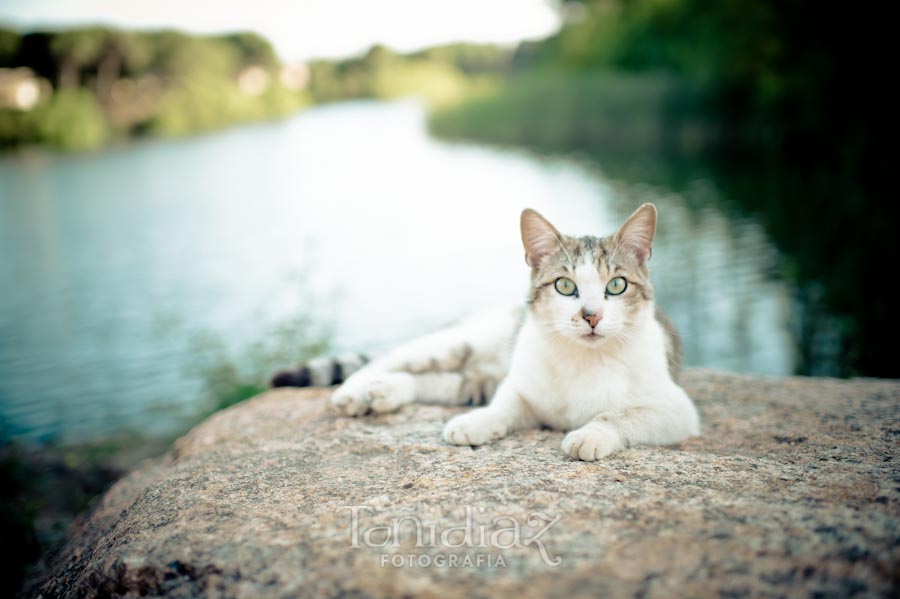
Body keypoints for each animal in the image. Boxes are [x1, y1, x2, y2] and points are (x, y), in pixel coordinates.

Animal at [272, 204, 696, 462]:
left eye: (617, 286)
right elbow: (503, 406)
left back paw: (385, 394)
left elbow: (622, 414)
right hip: (455, 343)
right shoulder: (520, 387)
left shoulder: (677, 409)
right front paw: (477, 422)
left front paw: (591, 434)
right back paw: (355, 393)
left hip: (472, 378)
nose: (591, 316)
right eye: (564, 286)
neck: (584, 359)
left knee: (440, 383)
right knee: (387, 360)